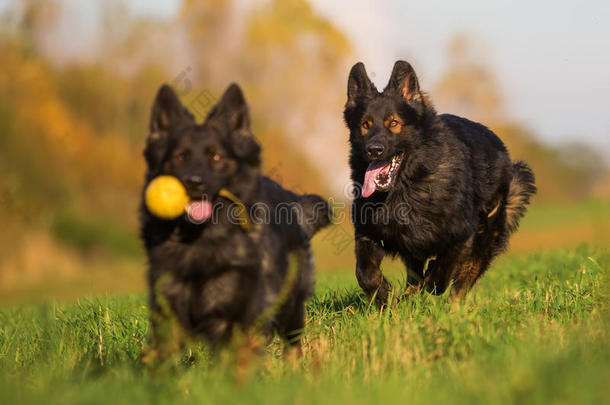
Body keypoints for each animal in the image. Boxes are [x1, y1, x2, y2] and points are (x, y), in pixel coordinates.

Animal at [140, 82, 330, 356]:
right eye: (180, 157)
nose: (195, 182)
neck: (200, 241)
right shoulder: (167, 314)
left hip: (290, 307)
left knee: (292, 344)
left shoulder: (234, 316)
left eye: (216, 157)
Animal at [344, 60, 536, 304]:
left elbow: (442, 273)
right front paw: (385, 297)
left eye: (394, 123)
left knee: (460, 284)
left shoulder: (462, 234)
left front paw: (430, 283)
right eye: (365, 125)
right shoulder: (369, 232)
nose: (374, 150)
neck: (408, 185)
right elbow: (365, 273)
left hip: (484, 239)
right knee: (415, 278)